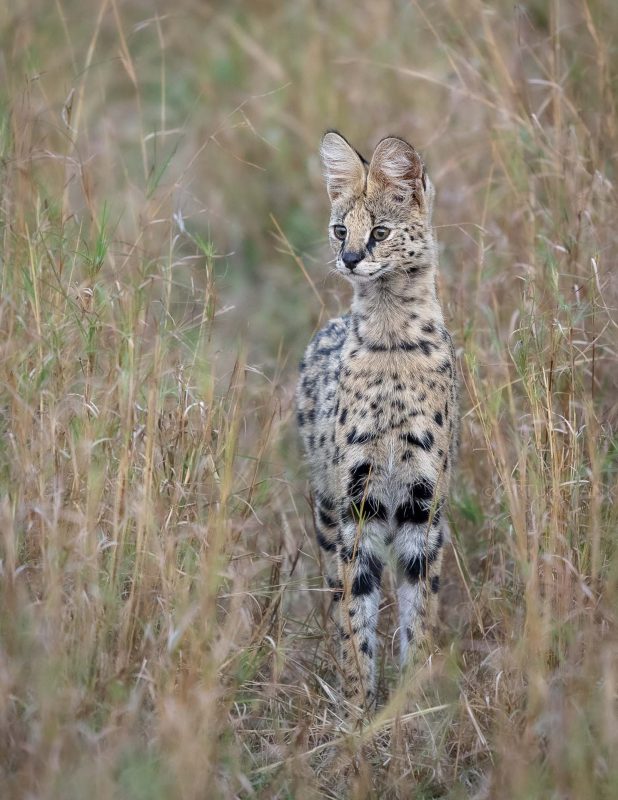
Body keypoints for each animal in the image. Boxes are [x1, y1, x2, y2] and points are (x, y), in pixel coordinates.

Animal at [296, 133, 454, 720]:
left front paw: (410, 707)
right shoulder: (354, 504)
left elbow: (418, 610)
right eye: (342, 229)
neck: (390, 340)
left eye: (380, 232)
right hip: (325, 508)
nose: (348, 258)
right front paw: (358, 710)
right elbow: (355, 614)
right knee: (334, 591)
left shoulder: (422, 506)